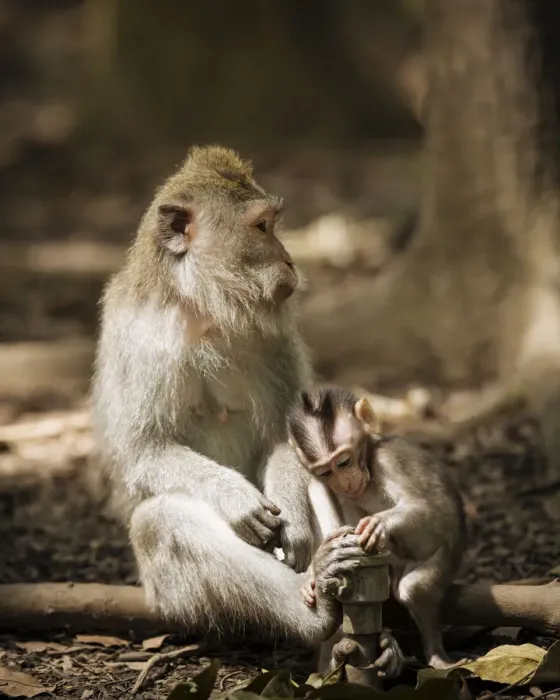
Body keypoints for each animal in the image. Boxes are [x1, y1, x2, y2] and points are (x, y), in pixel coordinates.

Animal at [91, 145, 404, 677]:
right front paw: (234, 497)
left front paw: (293, 522)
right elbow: (142, 453)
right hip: (167, 595)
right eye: (261, 228)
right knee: (160, 521)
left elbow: (289, 436)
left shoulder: (273, 334)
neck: (205, 309)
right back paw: (314, 611)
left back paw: (360, 642)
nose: (289, 258)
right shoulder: (142, 337)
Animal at [287, 385, 467, 670]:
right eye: (327, 472)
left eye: (344, 463)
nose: (345, 483)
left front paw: (380, 523)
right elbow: (323, 494)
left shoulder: (388, 461)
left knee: (414, 588)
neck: (369, 462)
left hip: (447, 558)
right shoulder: (324, 480)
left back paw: (437, 656)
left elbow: (433, 508)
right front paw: (316, 568)